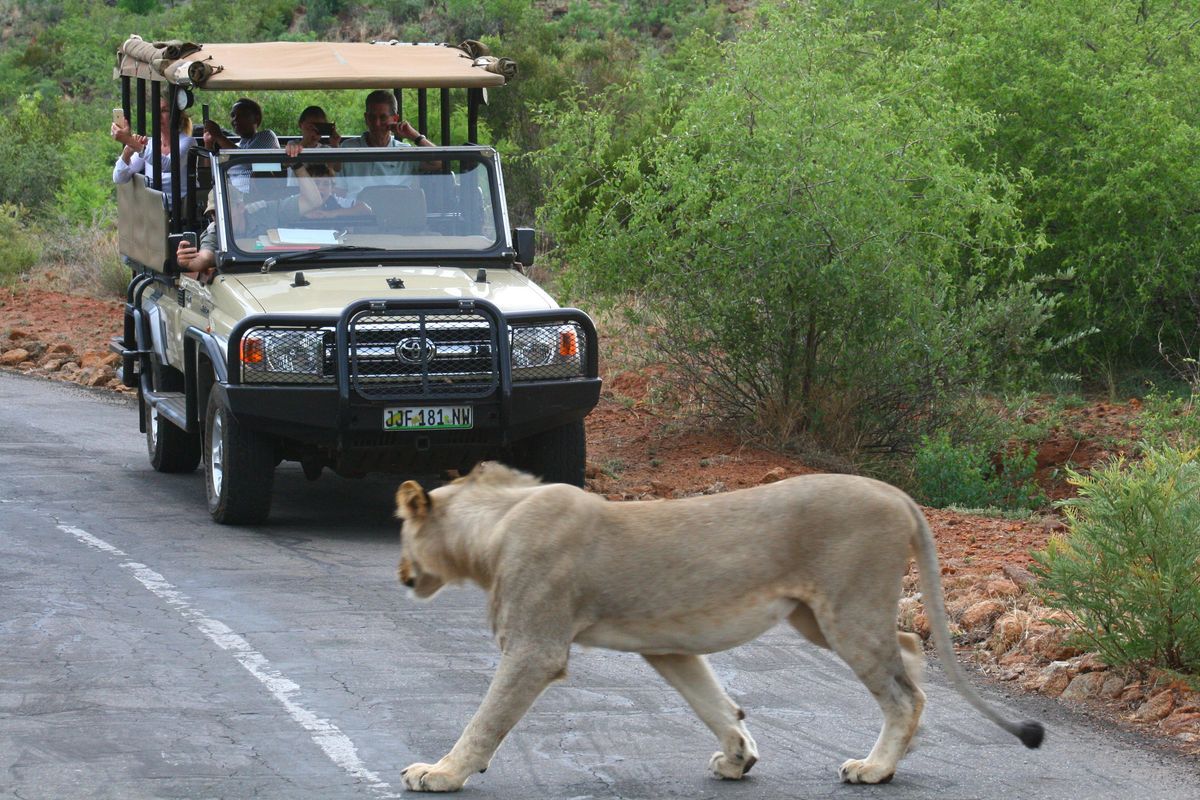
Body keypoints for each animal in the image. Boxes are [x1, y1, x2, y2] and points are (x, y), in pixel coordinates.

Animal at [394, 462, 1043, 792]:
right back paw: (900, 750)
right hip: (817, 616)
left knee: (902, 691)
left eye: (402, 528)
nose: (400, 572)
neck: (491, 530)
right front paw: (738, 759)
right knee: (908, 650)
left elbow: (486, 719)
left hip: (846, 610)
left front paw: (440, 772)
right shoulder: (667, 645)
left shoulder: (534, 646)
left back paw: (875, 768)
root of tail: (897, 494)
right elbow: (712, 701)